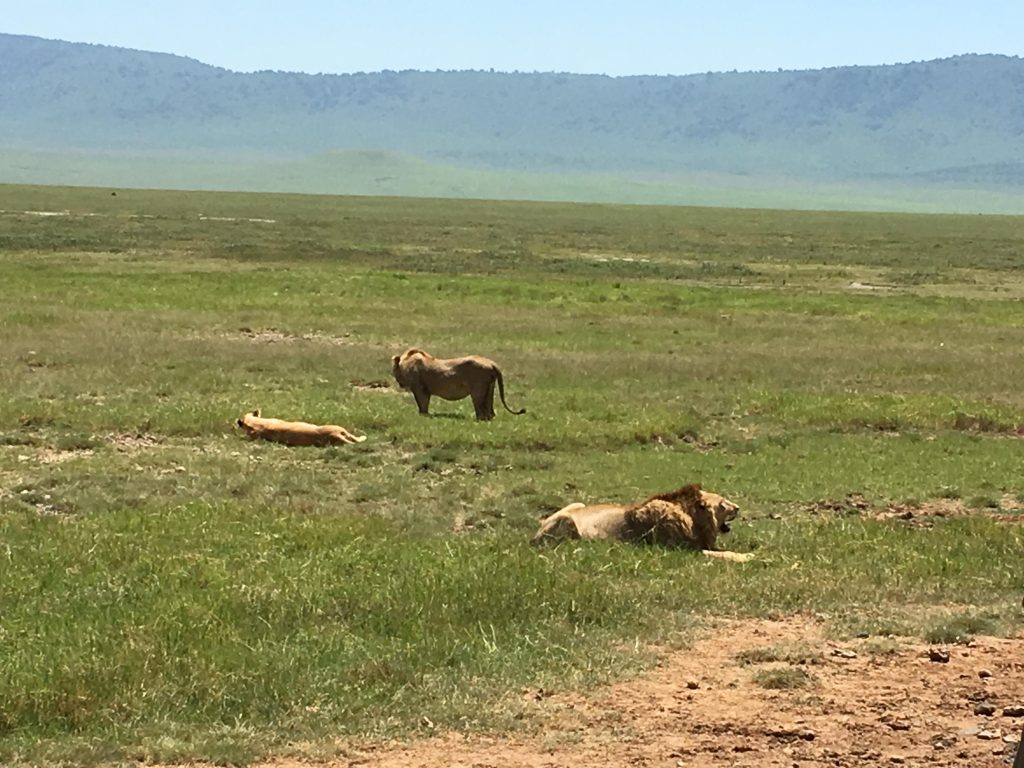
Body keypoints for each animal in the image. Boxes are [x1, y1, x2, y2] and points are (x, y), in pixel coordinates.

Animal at [391, 348, 526, 421]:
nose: (400, 384)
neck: (406, 364)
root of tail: (492, 363)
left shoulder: (420, 388)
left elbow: (422, 404)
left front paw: (423, 416)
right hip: (490, 389)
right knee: (490, 412)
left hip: (477, 390)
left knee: (481, 411)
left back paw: (477, 420)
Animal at [531, 483, 753, 562]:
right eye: (723, 503)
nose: (738, 507)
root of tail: (534, 536)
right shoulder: (684, 549)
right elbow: (721, 553)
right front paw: (748, 557)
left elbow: (721, 549)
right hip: (566, 520)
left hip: (578, 503)